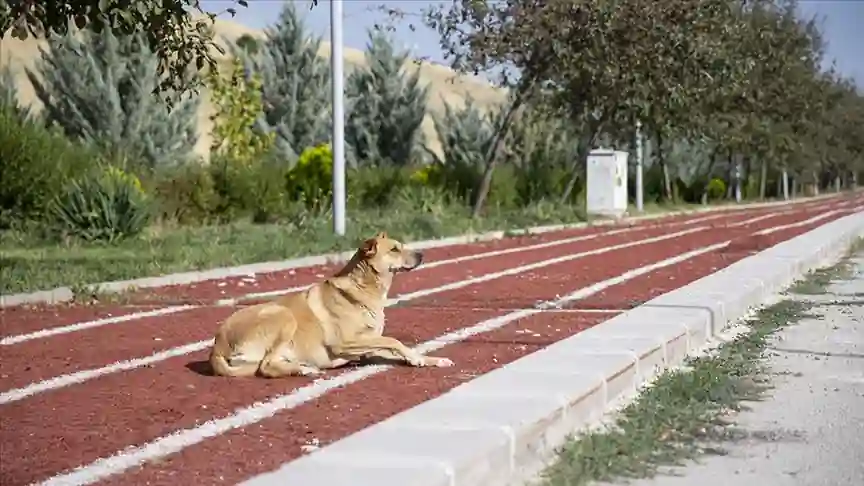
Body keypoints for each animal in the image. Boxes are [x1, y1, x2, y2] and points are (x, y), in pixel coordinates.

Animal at [210, 233, 456, 380]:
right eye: (394, 249)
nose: (422, 255)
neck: (363, 287)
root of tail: (216, 347)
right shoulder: (344, 343)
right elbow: (393, 341)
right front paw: (417, 358)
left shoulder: (368, 346)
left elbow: (395, 347)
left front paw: (428, 360)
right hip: (283, 315)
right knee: (266, 366)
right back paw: (304, 369)